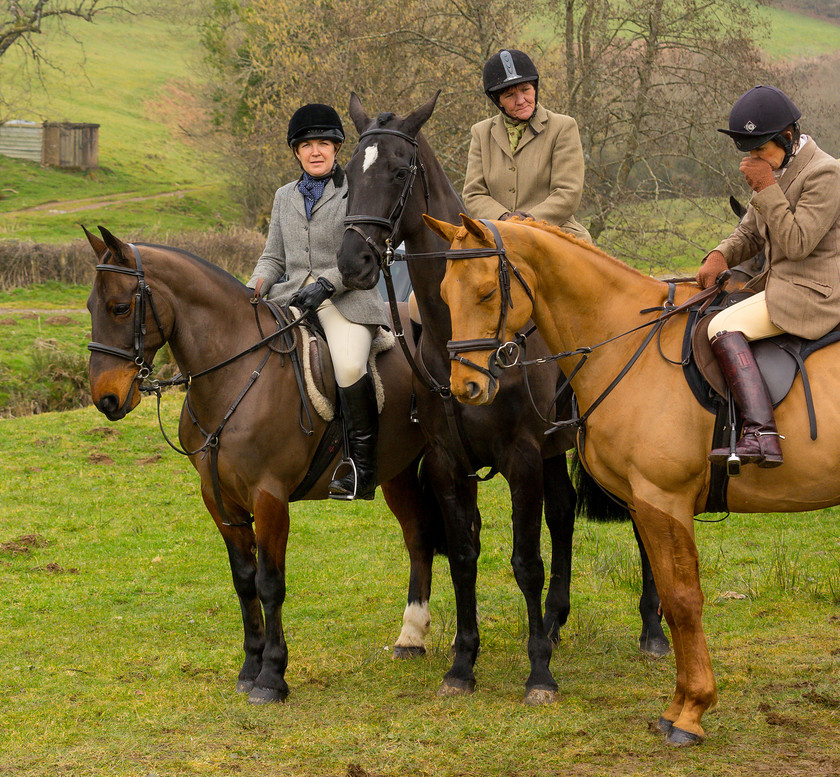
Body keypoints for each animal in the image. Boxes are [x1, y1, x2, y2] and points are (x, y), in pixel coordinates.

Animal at [83, 224, 446, 704]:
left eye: (120, 308)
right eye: (90, 307)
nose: (105, 399)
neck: (236, 372)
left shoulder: (269, 496)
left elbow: (270, 583)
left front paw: (272, 677)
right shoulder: (218, 498)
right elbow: (244, 580)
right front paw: (249, 668)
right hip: (397, 470)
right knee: (418, 536)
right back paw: (411, 637)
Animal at [338, 92, 668, 704]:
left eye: (398, 171)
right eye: (347, 173)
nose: (354, 263)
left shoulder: (521, 457)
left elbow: (525, 562)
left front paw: (538, 673)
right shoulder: (449, 462)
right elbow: (465, 557)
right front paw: (462, 665)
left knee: (640, 522)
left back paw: (652, 631)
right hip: (555, 452)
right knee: (562, 515)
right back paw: (556, 622)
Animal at [434, 212, 840, 744]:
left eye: (484, 292)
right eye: (443, 293)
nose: (466, 388)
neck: (627, 341)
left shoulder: (663, 500)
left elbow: (684, 600)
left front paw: (691, 712)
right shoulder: (646, 503)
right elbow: (670, 594)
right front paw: (680, 705)